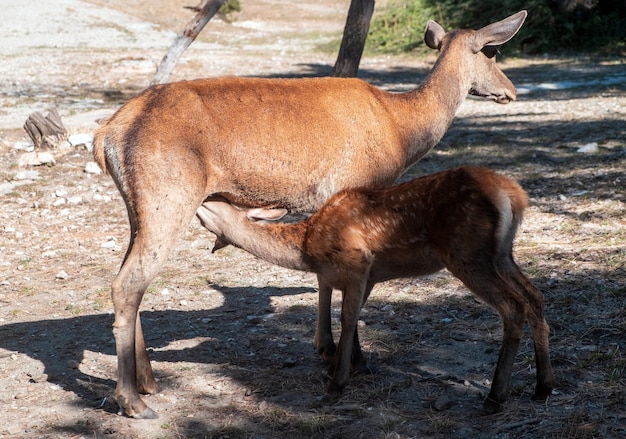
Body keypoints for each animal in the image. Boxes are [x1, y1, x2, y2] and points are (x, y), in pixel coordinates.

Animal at [196, 167, 556, 414]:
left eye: (210, 203)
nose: (195, 200)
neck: (308, 247)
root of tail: (515, 196)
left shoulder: (357, 262)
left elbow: (347, 318)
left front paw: (336, 383)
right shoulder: (370, 275)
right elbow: (354, 318)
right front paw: (351, 366)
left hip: (468, 254)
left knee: (513, 307)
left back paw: (495, 396)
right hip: (501, 254)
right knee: (534, 296)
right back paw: (542, 387)